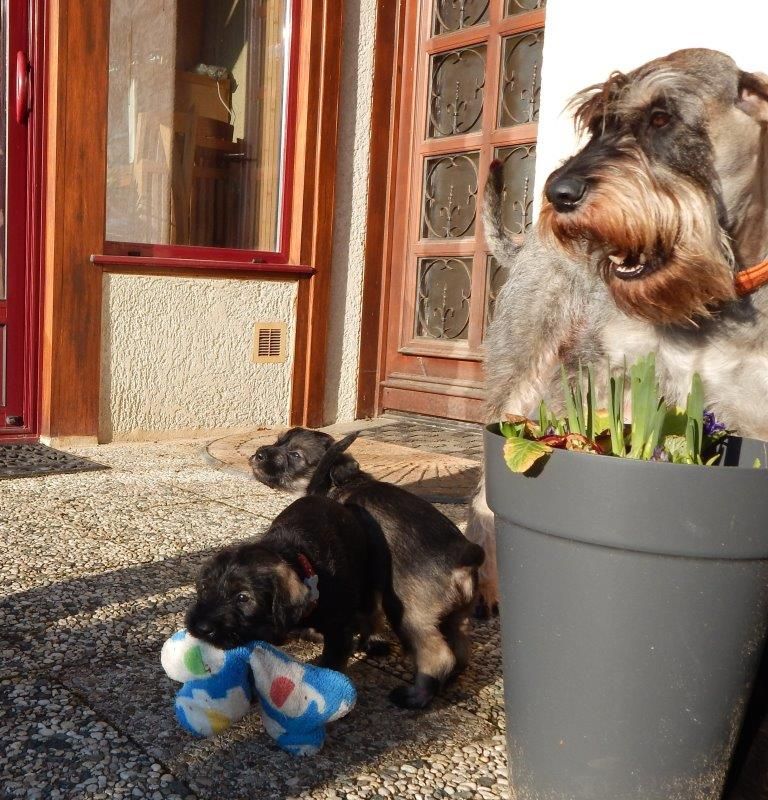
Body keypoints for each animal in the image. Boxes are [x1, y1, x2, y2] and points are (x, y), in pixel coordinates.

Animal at [250, 429, 485, 709]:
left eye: (296, 455)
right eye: (278, 441)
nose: (258, 454)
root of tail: (464, 556)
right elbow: (370, 616)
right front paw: (371, 643)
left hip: (407, 613)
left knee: (438, 656)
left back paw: (415, 696)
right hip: (457, 616)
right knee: (461, 651)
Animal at [466, 48, 768, 615]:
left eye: (661, 118)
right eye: (597, 123)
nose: (557, 193)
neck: (716, 293)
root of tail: (525, 242)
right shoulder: (620, 386)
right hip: (522, 372)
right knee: (484, 495)